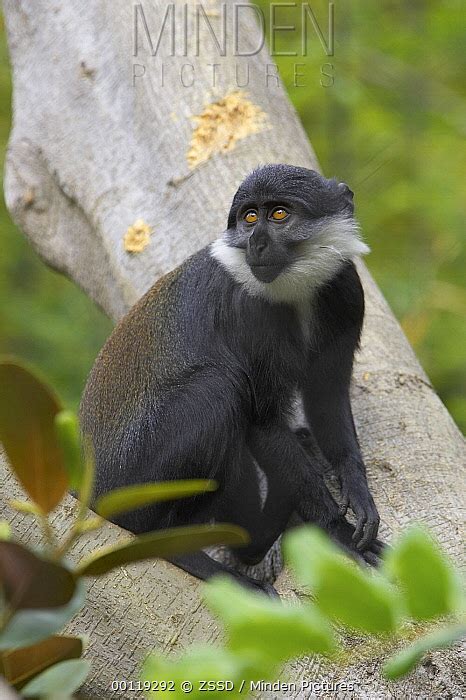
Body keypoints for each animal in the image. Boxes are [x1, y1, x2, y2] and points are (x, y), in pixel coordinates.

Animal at [80, 165, 384, 596]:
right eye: (249, 217)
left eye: (278, 214)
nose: (256, 243)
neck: (295, 292)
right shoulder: (248, 313)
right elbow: (261, 421)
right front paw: (337, 529)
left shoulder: (345, 289)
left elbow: (327, 395)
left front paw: (357, 490)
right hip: (133, 483)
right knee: (220, 390)